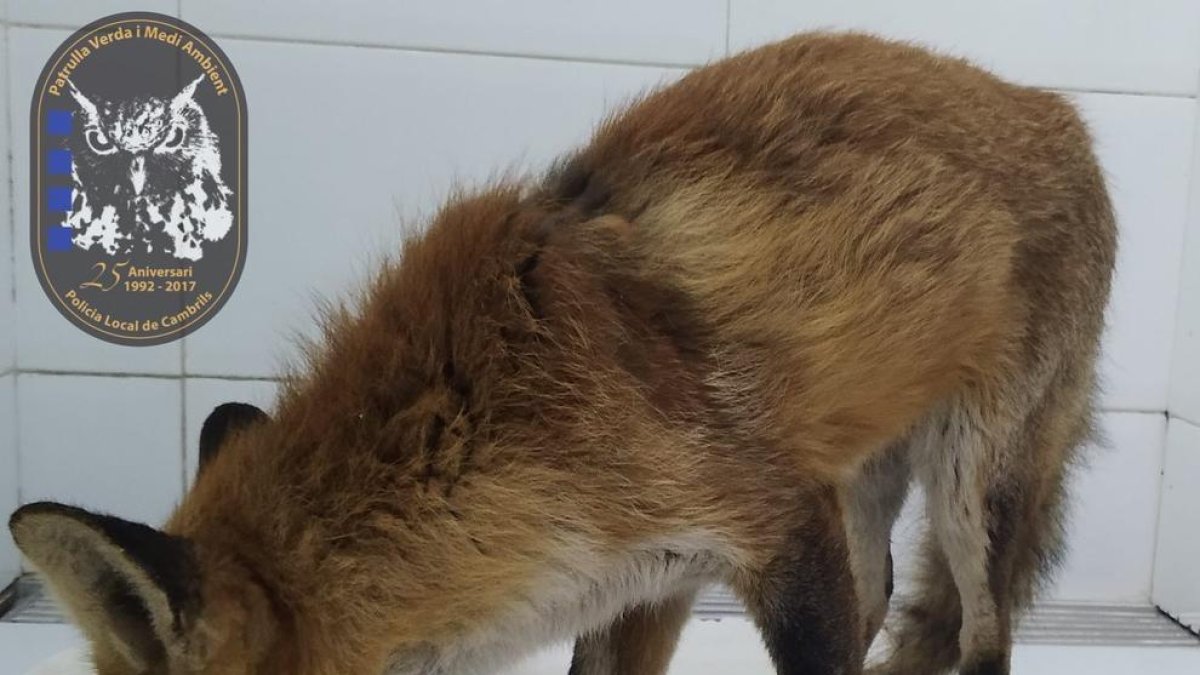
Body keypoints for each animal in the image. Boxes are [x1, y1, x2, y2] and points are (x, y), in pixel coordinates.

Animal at [8, 32, 1115, 675]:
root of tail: (1056, 107)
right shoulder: (656, 577)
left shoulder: (768, 520)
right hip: (860, 476)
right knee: (885, 591)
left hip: (973, 485)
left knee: (984, 636)